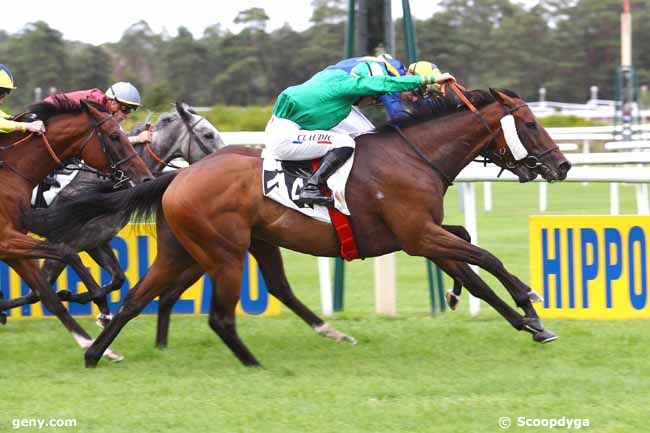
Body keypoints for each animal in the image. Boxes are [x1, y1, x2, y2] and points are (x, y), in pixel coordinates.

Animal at [0, 97, 153, 358]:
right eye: (114, 136)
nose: (146, 179)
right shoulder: (12, 239)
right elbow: (66, 255)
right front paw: (99, 305)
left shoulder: (14, 246)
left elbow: (48, 297)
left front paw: (96, 343)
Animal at [1, 103, 223, 316]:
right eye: (208, 135)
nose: (225, 156)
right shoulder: (66, 239)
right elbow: (37, 291)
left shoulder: (96, 240)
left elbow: (118, 278)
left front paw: (77, 297)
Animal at [31, 88, 568, 364]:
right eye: (531, 124)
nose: (562, 166)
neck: (415, 155)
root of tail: (176, 177)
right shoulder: (417, 236)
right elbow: (485, 258)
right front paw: (530, 301)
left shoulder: (422, 235)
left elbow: (471, 262)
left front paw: (523, 321)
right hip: (224, 251)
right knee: (218, 315)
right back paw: (252, 363)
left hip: (193, 249)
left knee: (138, 298)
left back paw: (95, 352)